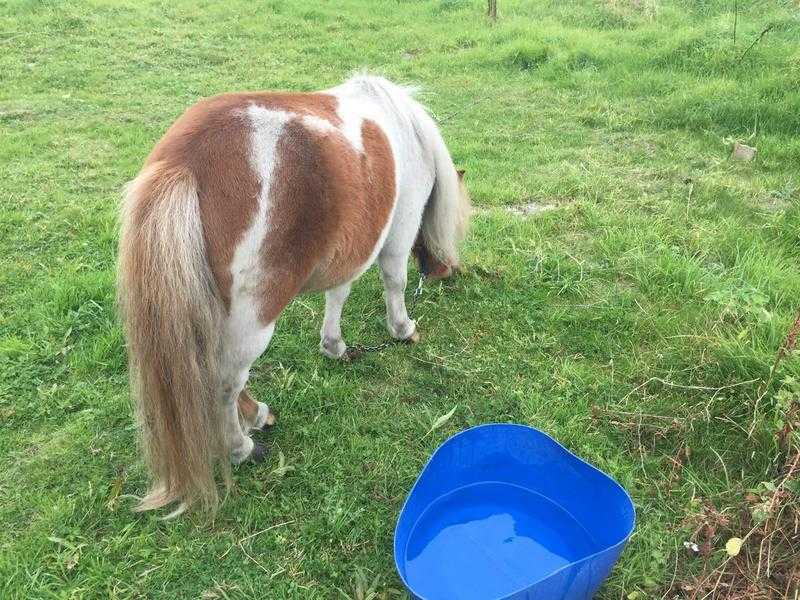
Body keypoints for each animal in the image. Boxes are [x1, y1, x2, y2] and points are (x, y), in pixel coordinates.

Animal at [117, 75, 468, 516]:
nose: (446, 271)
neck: (408, 132)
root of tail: (184, 162)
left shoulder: (349, 247)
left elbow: (338, 293)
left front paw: (334, 345)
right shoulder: (397, 235)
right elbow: (395, 282)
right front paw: (403, 329)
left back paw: (256, 416)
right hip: (254, 318)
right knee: (225, 382)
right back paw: (241, 446)